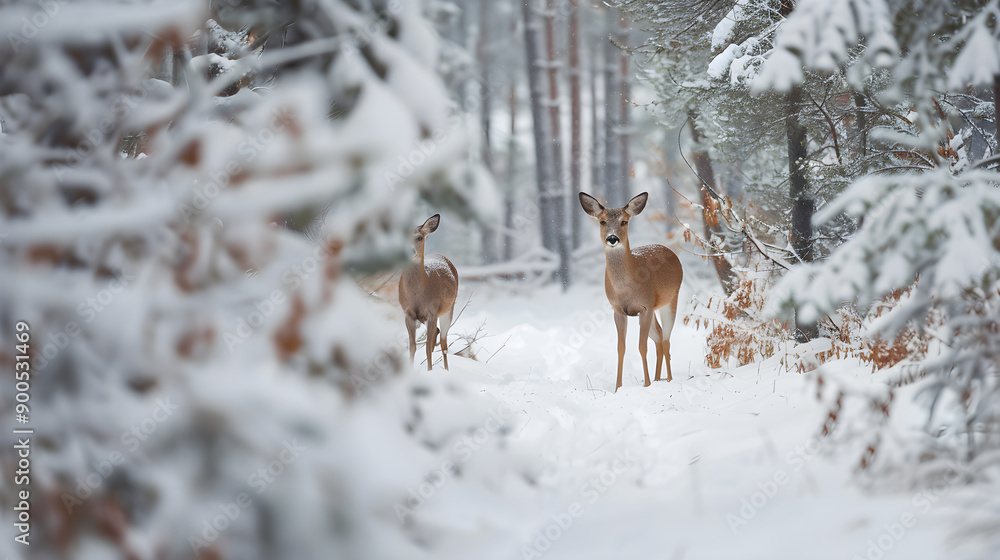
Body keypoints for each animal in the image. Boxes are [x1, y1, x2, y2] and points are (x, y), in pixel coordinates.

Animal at [398, 214, 459, 370]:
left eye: (420, 237)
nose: (408, 251)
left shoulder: (432, 312)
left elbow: (426, 347)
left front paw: (430, 370)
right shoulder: (408, 314)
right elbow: (412, 346)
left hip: (448, 309)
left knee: (443, 343)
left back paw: (446, 369)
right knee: (437, 334)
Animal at [579, 192, 683, 392]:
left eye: (624, 221)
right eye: (602, 221)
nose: (612, 238)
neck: (626, 288)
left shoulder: (646, 306)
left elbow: (642, 347)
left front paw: (646, 384)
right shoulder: (618, 310)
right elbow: (621, 348)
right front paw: (617, 388)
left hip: (671, 298)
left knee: (666, 340)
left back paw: (668, 380)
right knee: (659, 337)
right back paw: (658, 380)